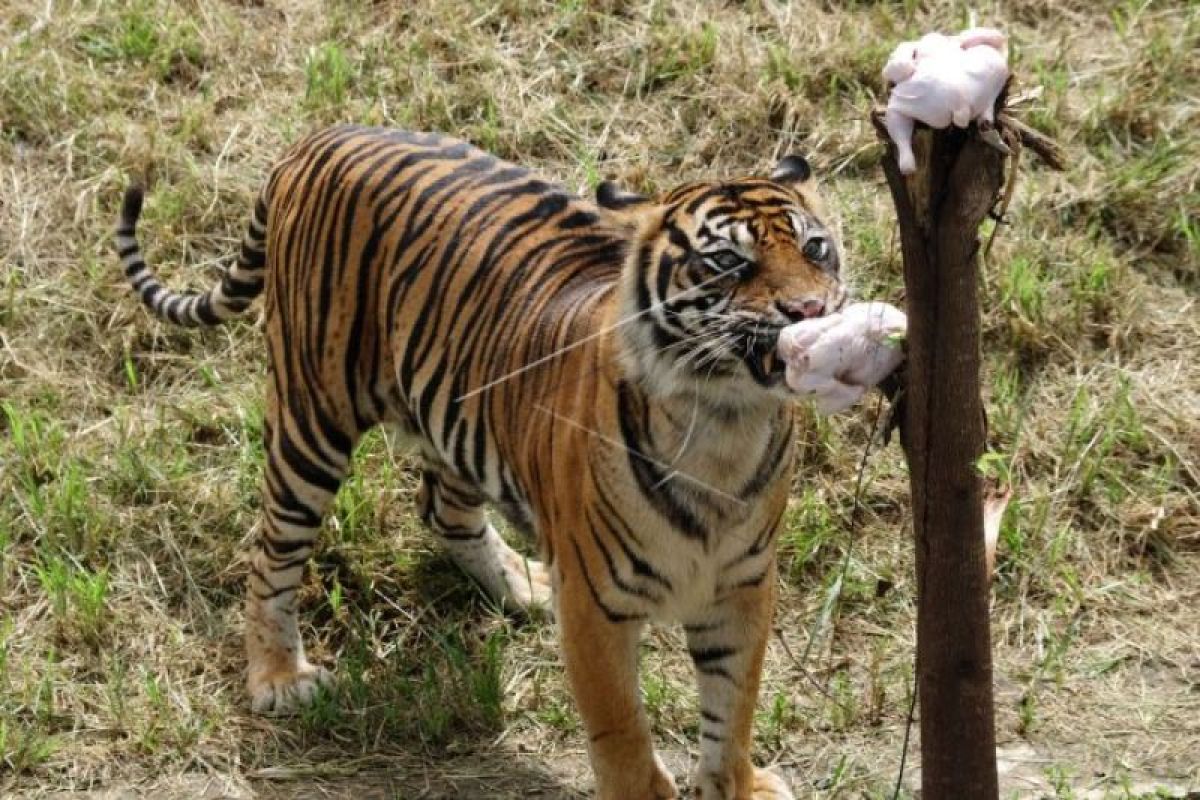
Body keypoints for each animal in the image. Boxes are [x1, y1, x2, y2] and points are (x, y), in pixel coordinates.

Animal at [112, 125, 844, 800]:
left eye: (815, 247)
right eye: (725, 261)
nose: (811, 309)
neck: (724, 421)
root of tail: (323, 134)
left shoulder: (743, 583)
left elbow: (733, 708)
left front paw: (737, 786)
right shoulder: (596, 603)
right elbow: (622, 726)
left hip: (457, 412)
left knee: (441, 507)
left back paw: (523, 586)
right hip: (310, 417)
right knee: (272, 551)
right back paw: (279, 678)